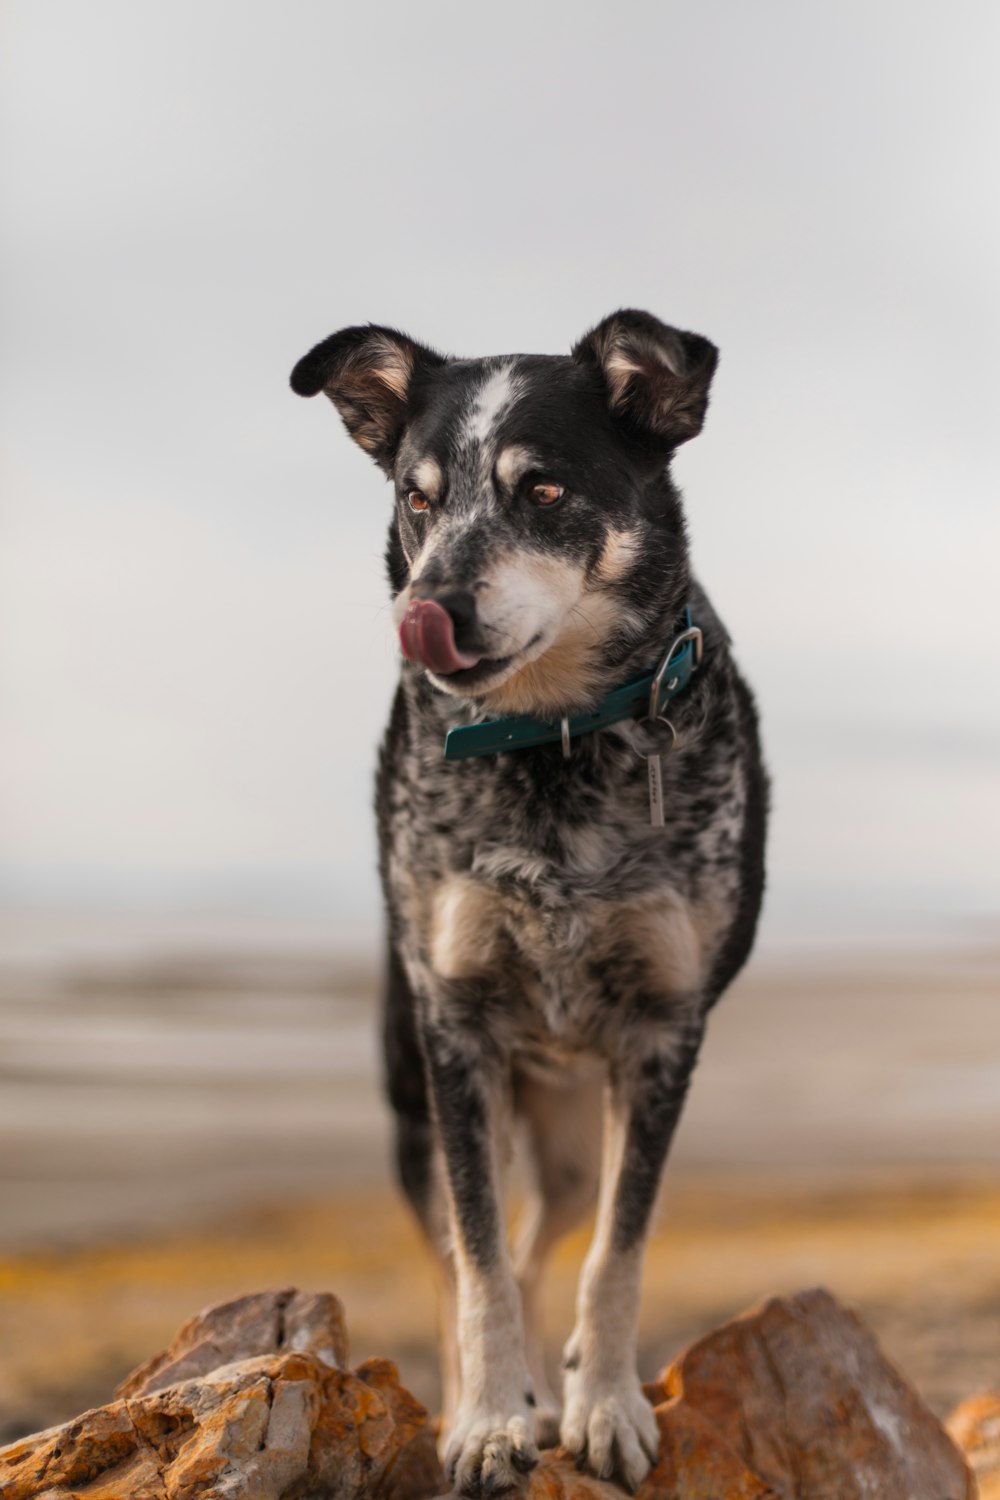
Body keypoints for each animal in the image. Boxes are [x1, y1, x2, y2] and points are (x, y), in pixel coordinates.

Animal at [289, 310, 767, 1494]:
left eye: (543, 490)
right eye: (418, 498)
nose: (427, 611)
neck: (550, 743)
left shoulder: (662, 1034)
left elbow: (616, 1253)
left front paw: (602, 1409)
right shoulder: (456, 1031)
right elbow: (477, 1261)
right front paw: (489, 1421)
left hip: (570, 1140)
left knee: (554, 1242)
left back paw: (556, 1393)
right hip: (424, 1106)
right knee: (470, 1253)